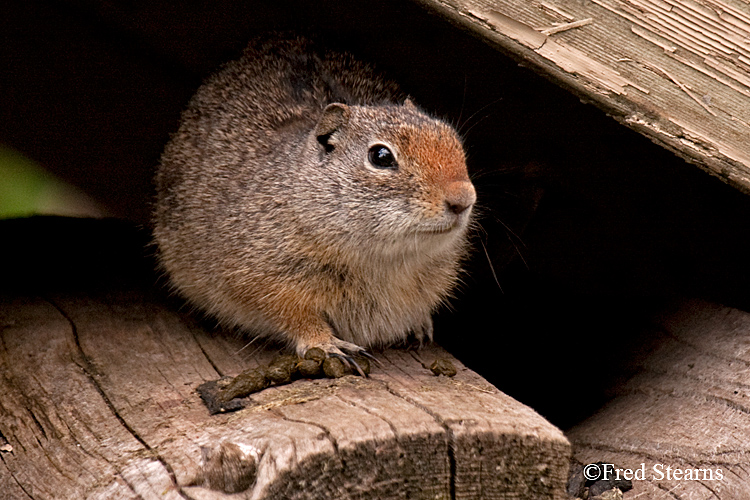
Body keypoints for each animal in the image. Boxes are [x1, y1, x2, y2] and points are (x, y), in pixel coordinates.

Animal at [154, 35, 476, 364]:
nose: (463, 200)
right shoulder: (261, 280)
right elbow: (297, 316)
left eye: (453, 139)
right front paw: (328, 344)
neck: (387, 260)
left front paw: (419, 326)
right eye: (381, 156)